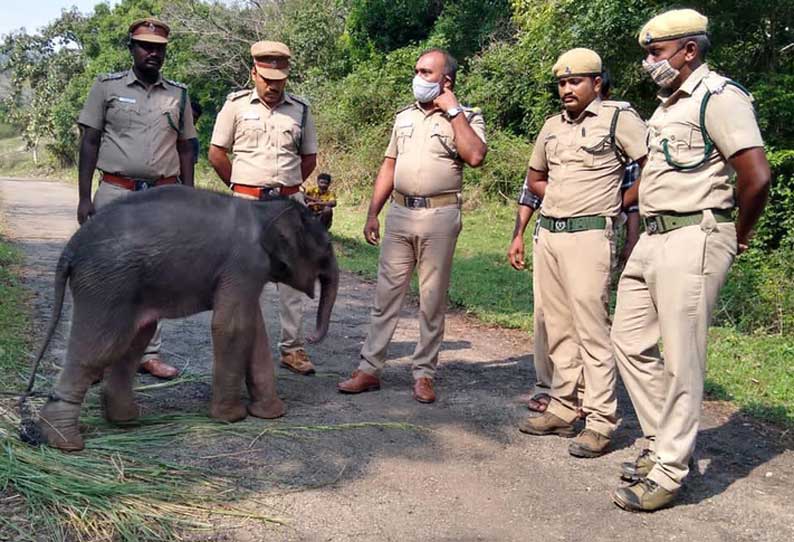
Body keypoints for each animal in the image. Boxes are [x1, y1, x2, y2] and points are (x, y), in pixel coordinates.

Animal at [32, 187, 338, 450]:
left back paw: (126, 420)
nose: (312, 337)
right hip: (107, 285)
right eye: (326, 248)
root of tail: (70, 249)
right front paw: (232, 417)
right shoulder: (244, 264)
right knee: (100, 350)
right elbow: (231, 326)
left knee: (134, 339)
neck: (262, 209)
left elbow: (254, 329)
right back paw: (65, 442)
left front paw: (271, 414)